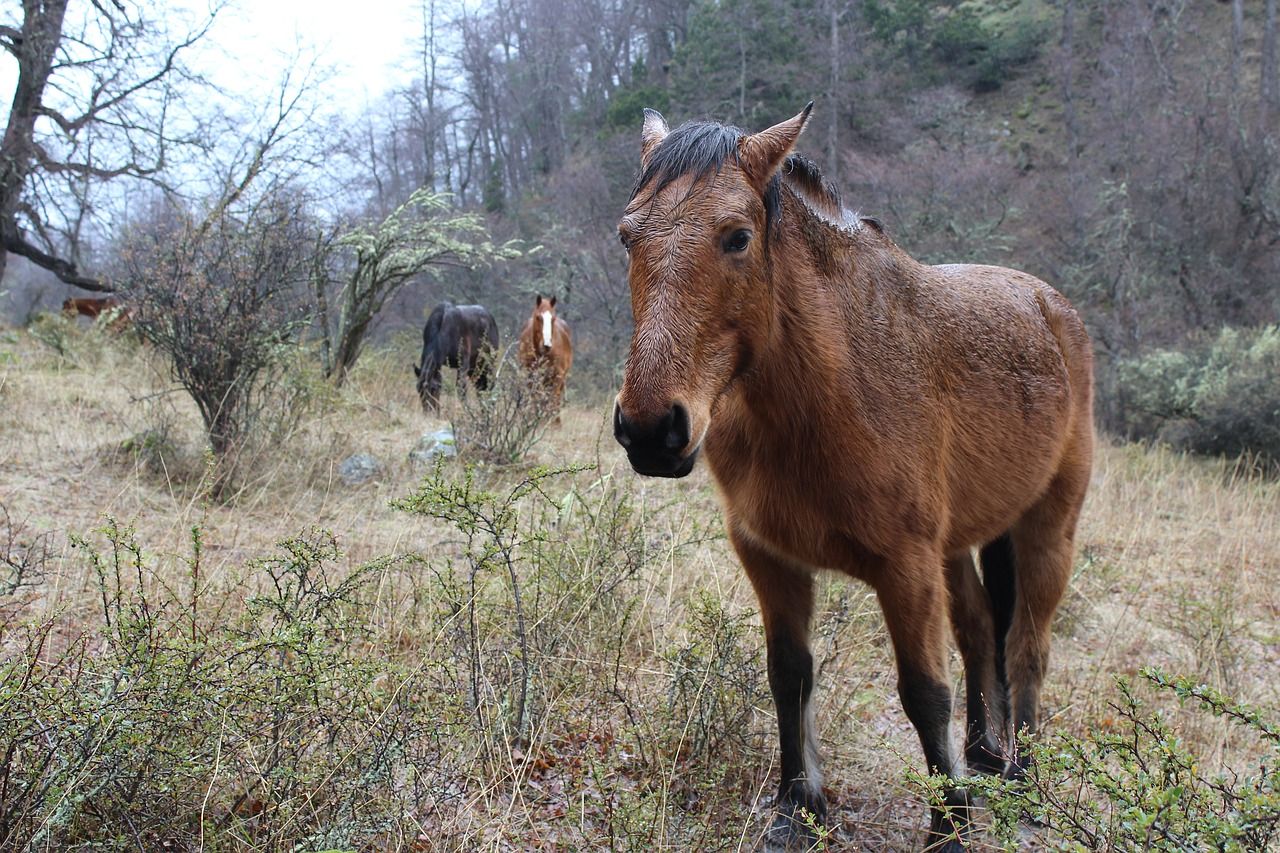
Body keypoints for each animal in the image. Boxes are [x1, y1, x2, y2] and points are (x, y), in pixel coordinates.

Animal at [609, 103, 1090, 845]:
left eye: (737, 237)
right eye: (627, 237)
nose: (651, 430)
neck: (828, 392)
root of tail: (1048, 302)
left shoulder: (905, 565)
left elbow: (924, 693)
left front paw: (948, 828)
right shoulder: (769, 556)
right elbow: (789, 675)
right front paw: (798, 806)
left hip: (1048, 529)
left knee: (1027, 646)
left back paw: (1023, 781)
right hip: (959, 546)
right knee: (981, 629)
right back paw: (982, 752)